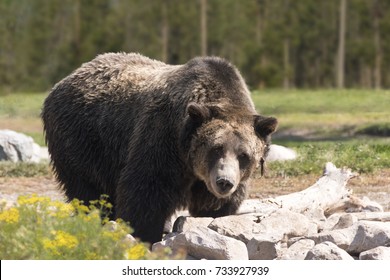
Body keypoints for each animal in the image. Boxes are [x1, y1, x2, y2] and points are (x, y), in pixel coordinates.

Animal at [42, 53, 278, 245]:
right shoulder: (162, 140)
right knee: (88, 190)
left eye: (244, 155)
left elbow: (215, 206)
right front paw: (144, 234)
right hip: (82, 140)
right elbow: (146, 191)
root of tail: (65, 80)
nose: (224, 182)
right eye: (215, 148)